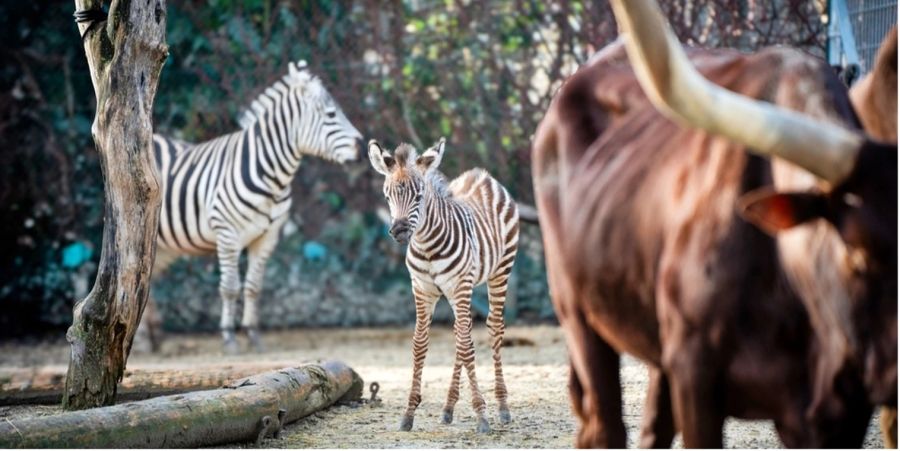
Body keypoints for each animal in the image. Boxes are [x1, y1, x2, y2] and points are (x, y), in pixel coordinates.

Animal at [142, 61, 366, 354]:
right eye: (330, 114)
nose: (364, 148)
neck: (273, 177)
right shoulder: (227, 234)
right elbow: (229, 287)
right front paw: (228, 337)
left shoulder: (267, 237)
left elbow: (253, 287)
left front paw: (253, 334)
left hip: (163, 244)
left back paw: (153, 337)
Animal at [368, 139, 520, 434]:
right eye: (387, 196)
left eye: (418, 196)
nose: (399, 231)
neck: (427, 246)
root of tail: (483, 175)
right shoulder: (422, 289)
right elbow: (420, 345)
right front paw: (408, 413)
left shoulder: (460, 286)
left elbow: (468, 346)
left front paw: (482, 415)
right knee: (461, 332)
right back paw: (448, 407)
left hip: (499, 271)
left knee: (493, 328)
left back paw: (502, 407)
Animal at [536, 0, 896, 448]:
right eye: (855, 251)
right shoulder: (696, 374)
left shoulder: (842, 409)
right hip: (577, 311)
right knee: (604, 425)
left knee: (653, 427)